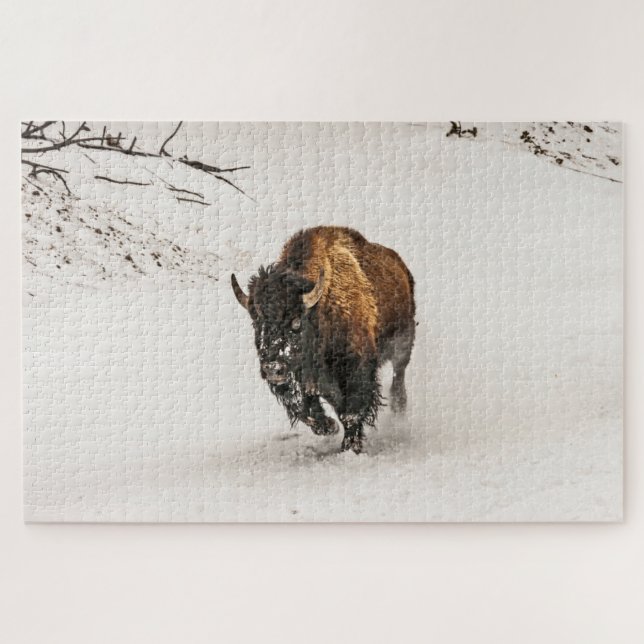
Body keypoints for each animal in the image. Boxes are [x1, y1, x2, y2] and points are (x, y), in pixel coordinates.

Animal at [231, 226, 415, 453]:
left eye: (296, 323)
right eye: (257, 323)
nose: (273, 368)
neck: (320, 315)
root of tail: (400, 266)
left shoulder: (357, 369)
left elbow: (351, 413)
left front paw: (350, 448)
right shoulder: (304, 381)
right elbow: (306, 410)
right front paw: (330, 427)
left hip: (403, 341)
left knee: (399, 374)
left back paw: (399, 410)